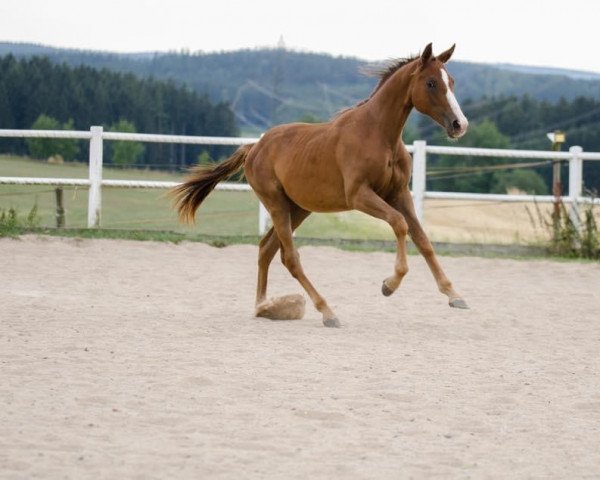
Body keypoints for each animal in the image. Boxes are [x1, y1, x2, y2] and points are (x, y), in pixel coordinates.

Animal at [171, 44, 472, 326]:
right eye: (431, 83)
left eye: (452, 81)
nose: (460, 125)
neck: (377, 134)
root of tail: (254, 147)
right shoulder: (359, 196)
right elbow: (399, 224)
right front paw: (389, 285)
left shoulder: (399, 194)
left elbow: (422, 239)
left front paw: (454, 295)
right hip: (277, 205)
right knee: (290, 257)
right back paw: (327, 312)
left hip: (298, 208)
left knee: (267, 249)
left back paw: (263, 306)